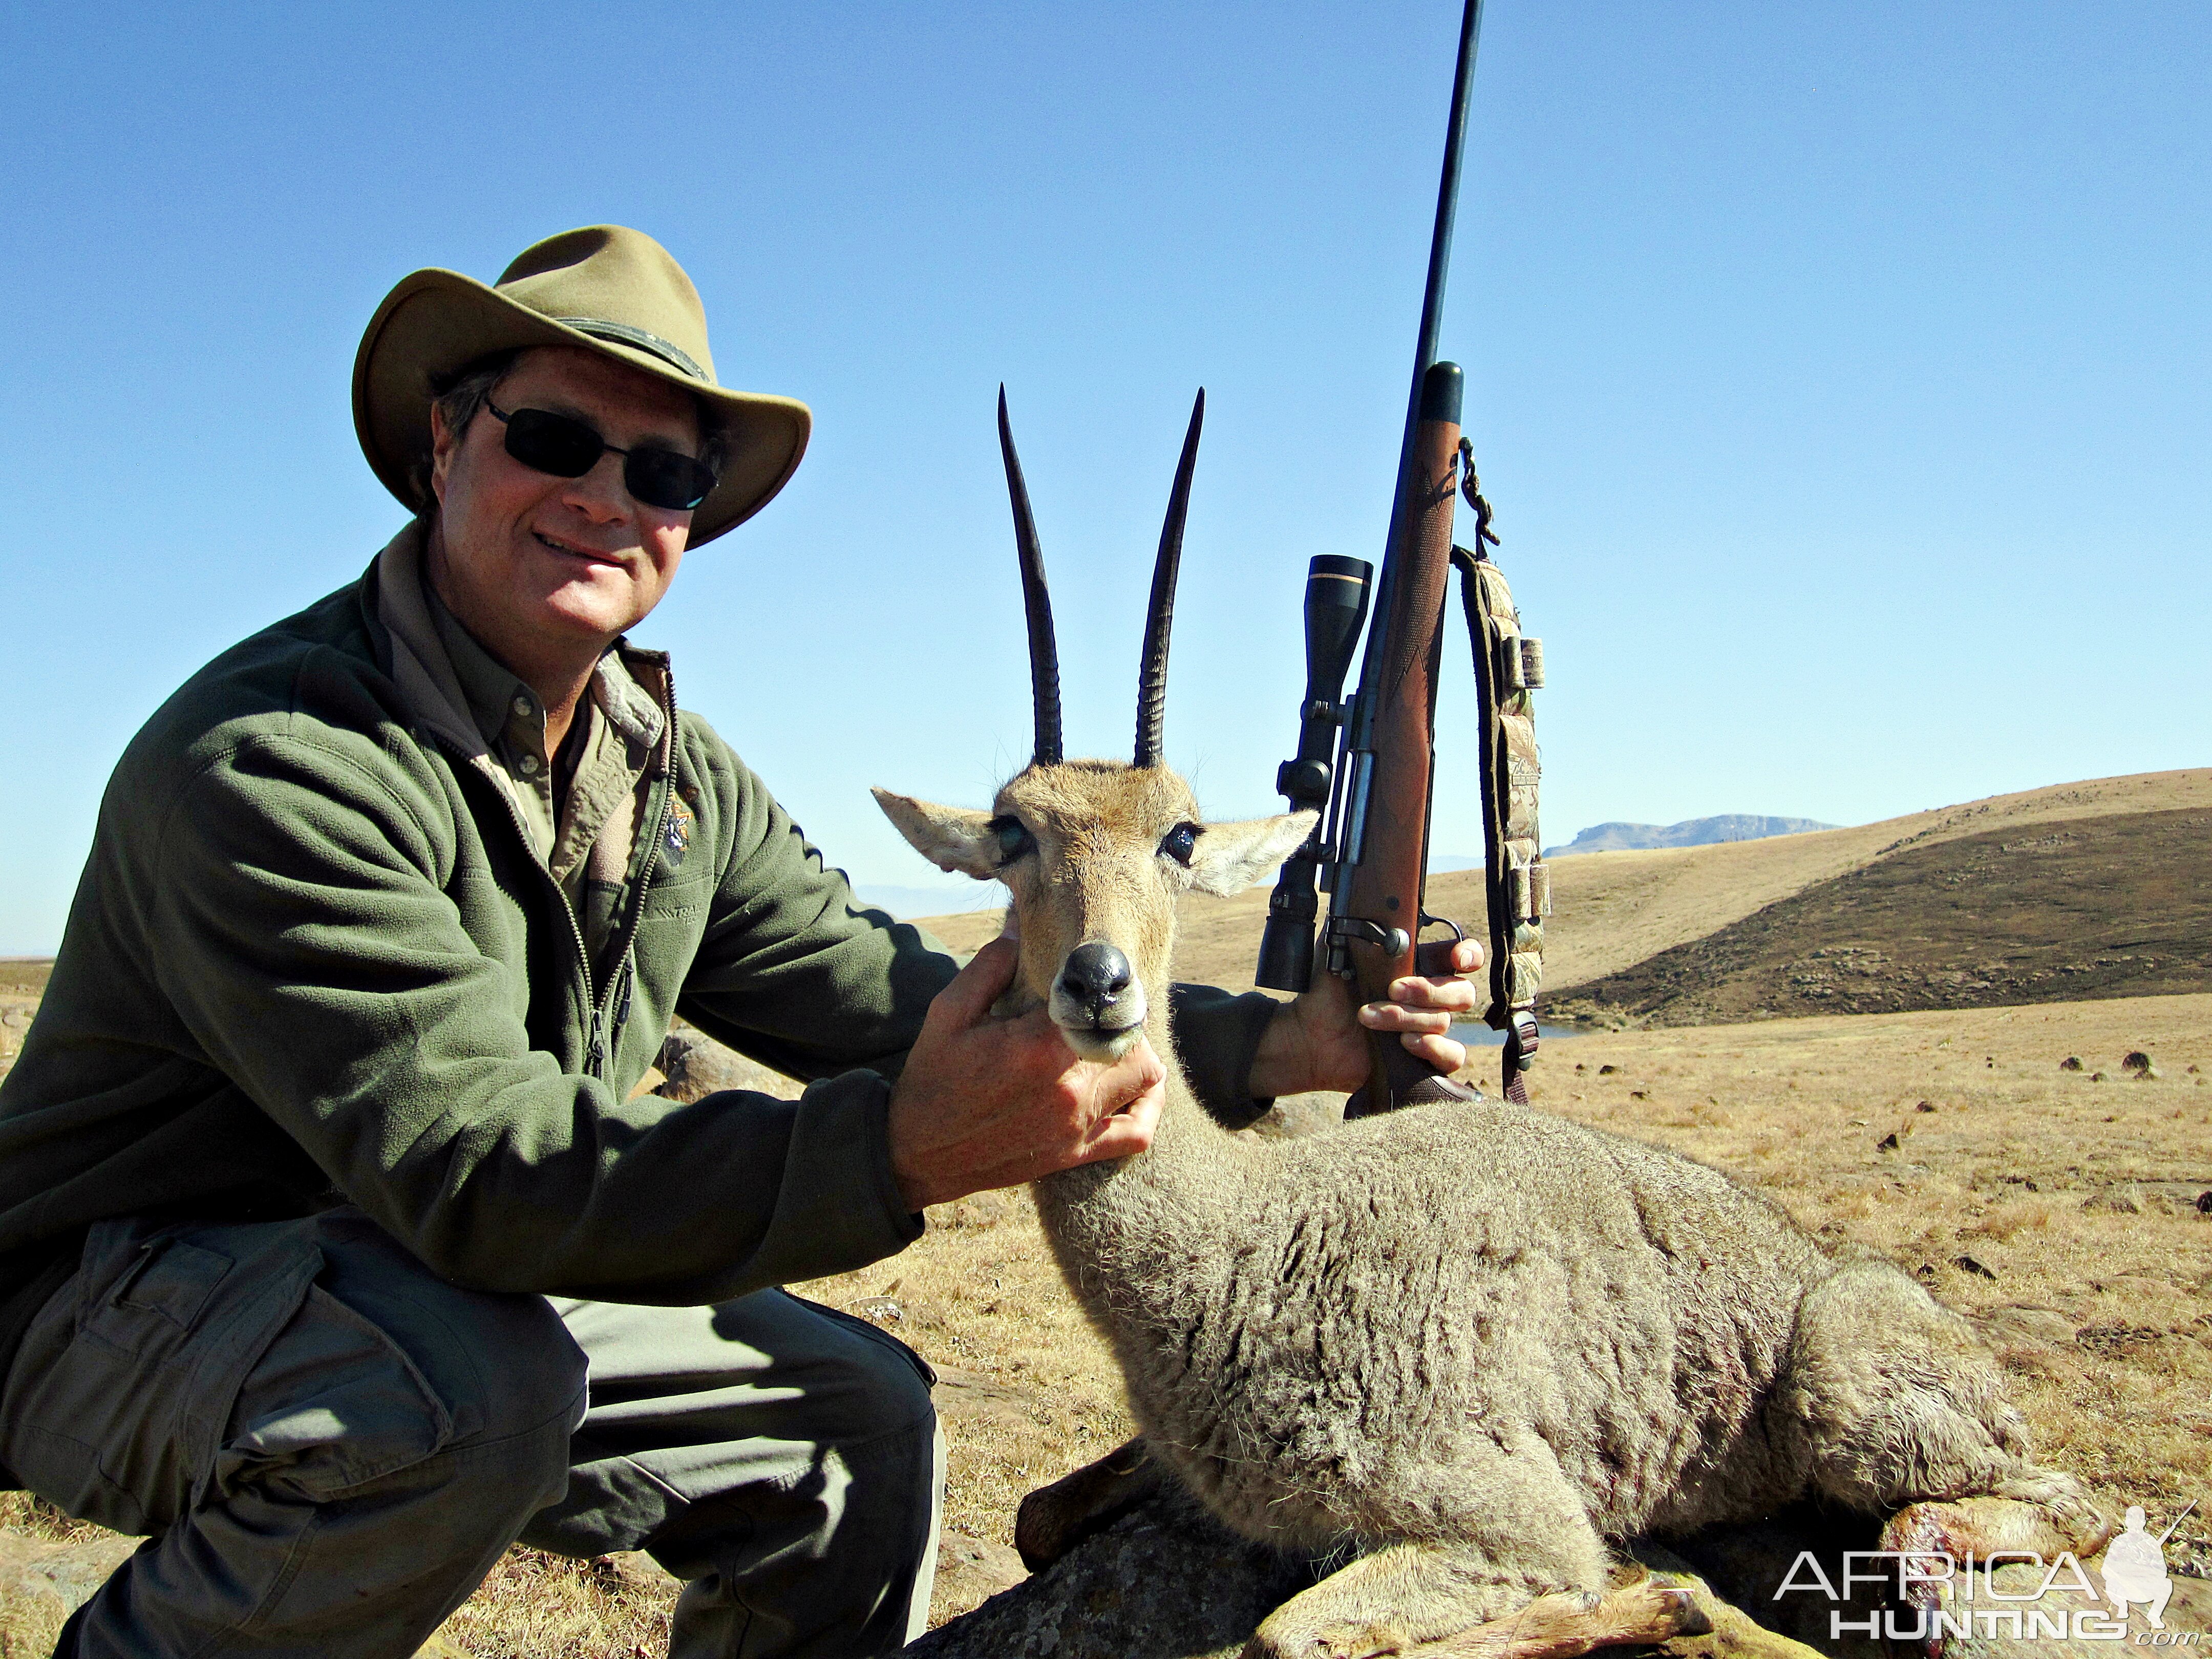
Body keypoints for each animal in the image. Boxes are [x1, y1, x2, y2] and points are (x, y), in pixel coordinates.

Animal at [871, 393, 2097, 1659]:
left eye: (1180, 834)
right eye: (1012, 830)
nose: (1099, 982)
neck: (1251, 1236)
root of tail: (1835, 1272)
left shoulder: (1509, 1513)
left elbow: (1292, 1633)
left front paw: (1655, 1600)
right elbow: (1036, 1518)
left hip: (1849, 1394)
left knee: (2044, 1505)